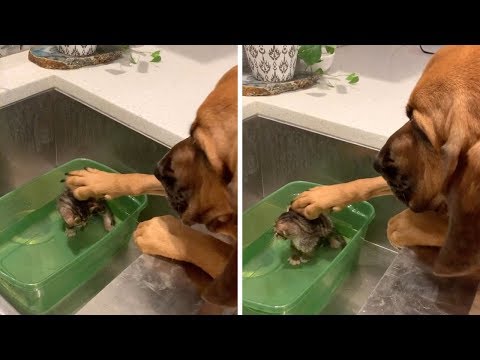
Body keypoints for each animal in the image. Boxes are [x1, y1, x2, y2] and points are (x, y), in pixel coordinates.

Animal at [65, 67, 238, 310]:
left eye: (202, 149)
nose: (158, 167)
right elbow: (140, 179)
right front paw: (97, 180)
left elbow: (204, 245)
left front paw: (159, 234)